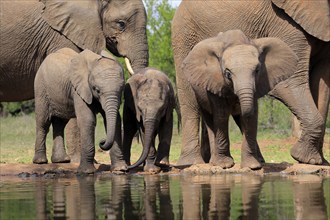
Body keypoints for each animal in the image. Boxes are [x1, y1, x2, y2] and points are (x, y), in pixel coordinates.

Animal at [183, 30, 300, 169]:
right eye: (227, 73)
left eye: (257, 70)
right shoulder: (215, 82)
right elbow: (221, 115)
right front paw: (225, 165)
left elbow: (251, 116)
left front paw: (252, 166)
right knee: (210, 120)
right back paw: (214, 162)